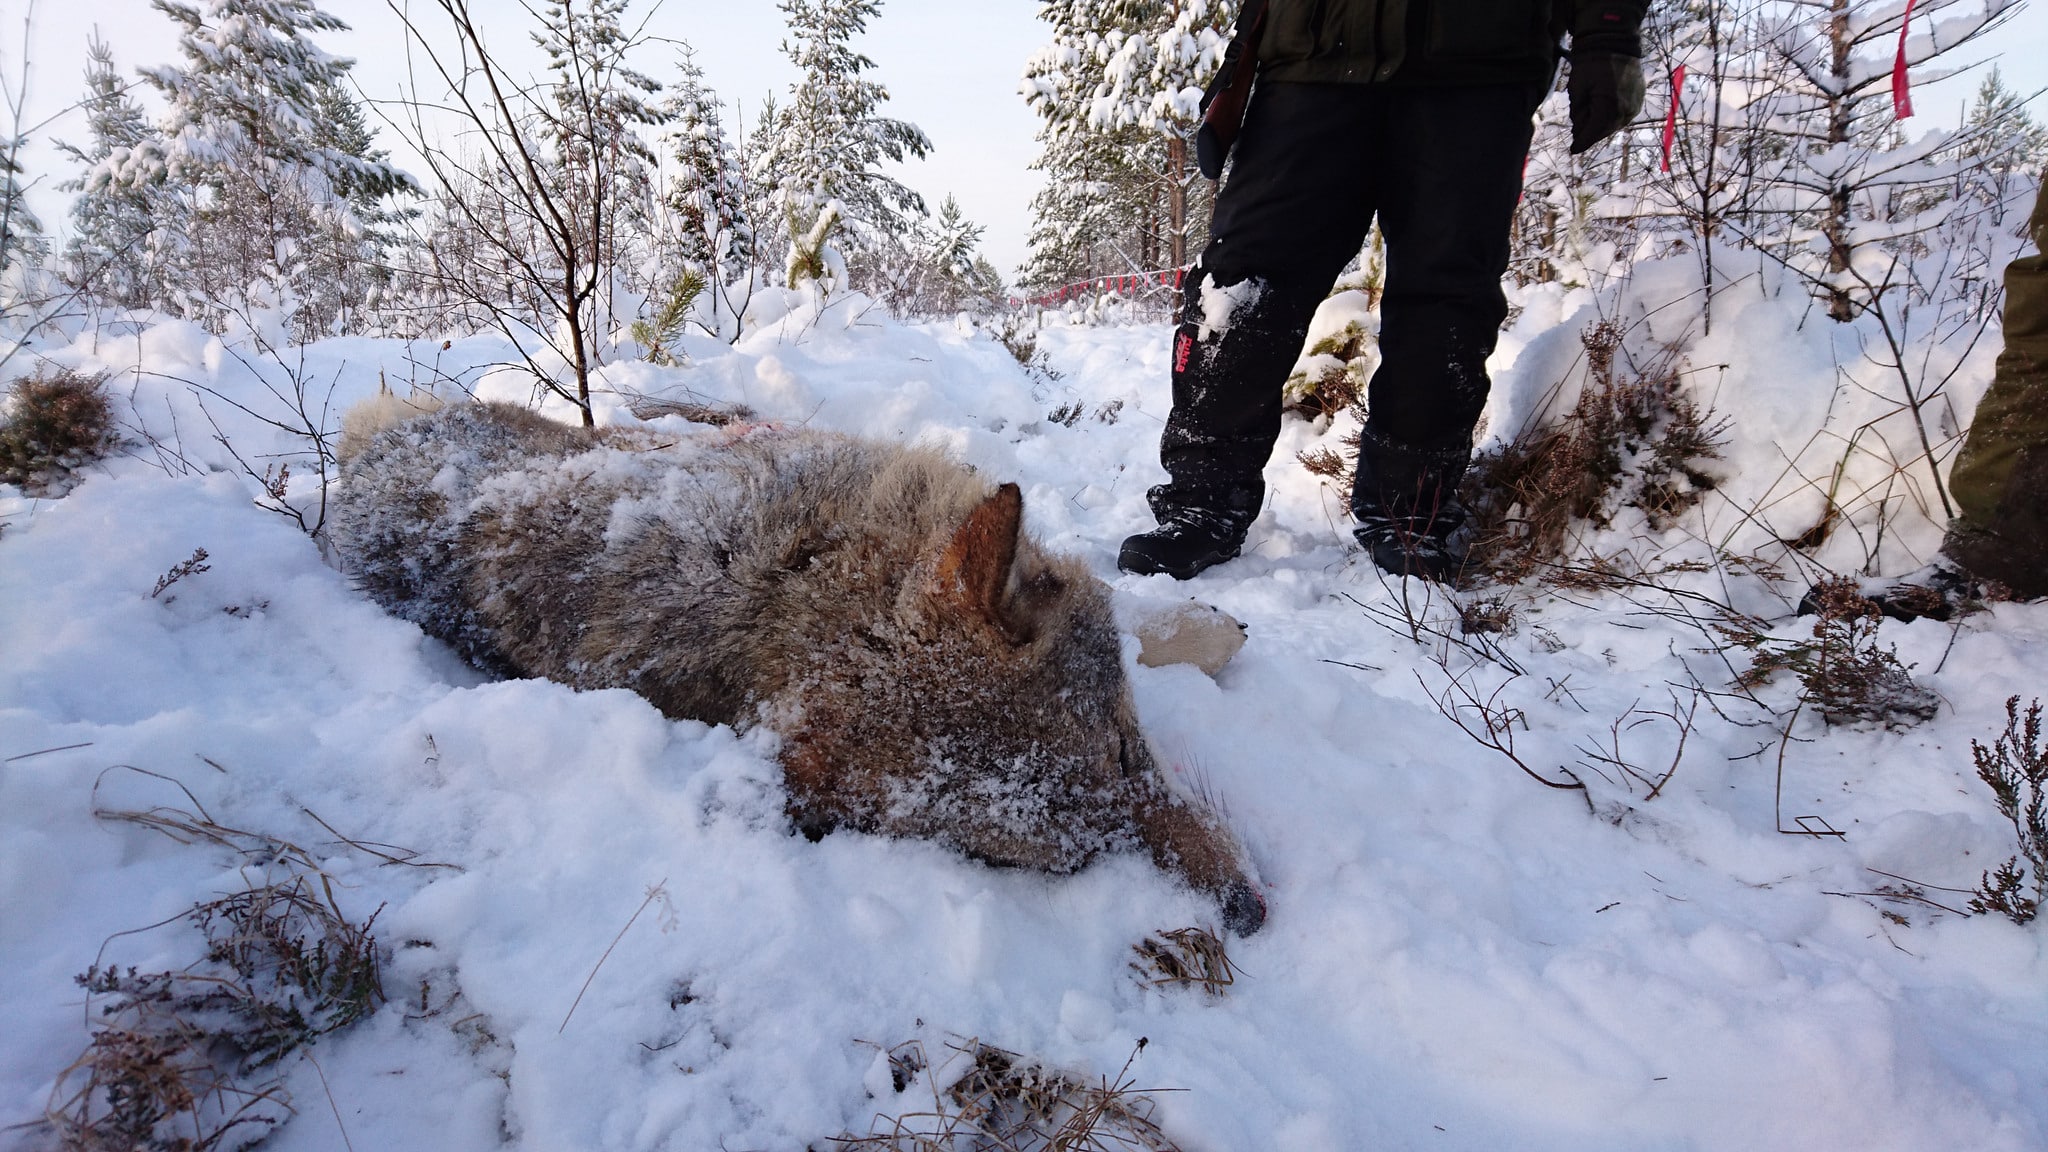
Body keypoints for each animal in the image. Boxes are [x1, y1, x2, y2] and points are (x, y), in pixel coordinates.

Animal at [331, 399, 1261, 926]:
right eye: (1082, 860)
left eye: (1128, 754)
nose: (1249, 913)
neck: (811, 578)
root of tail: (369, 456)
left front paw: (1208, 624)